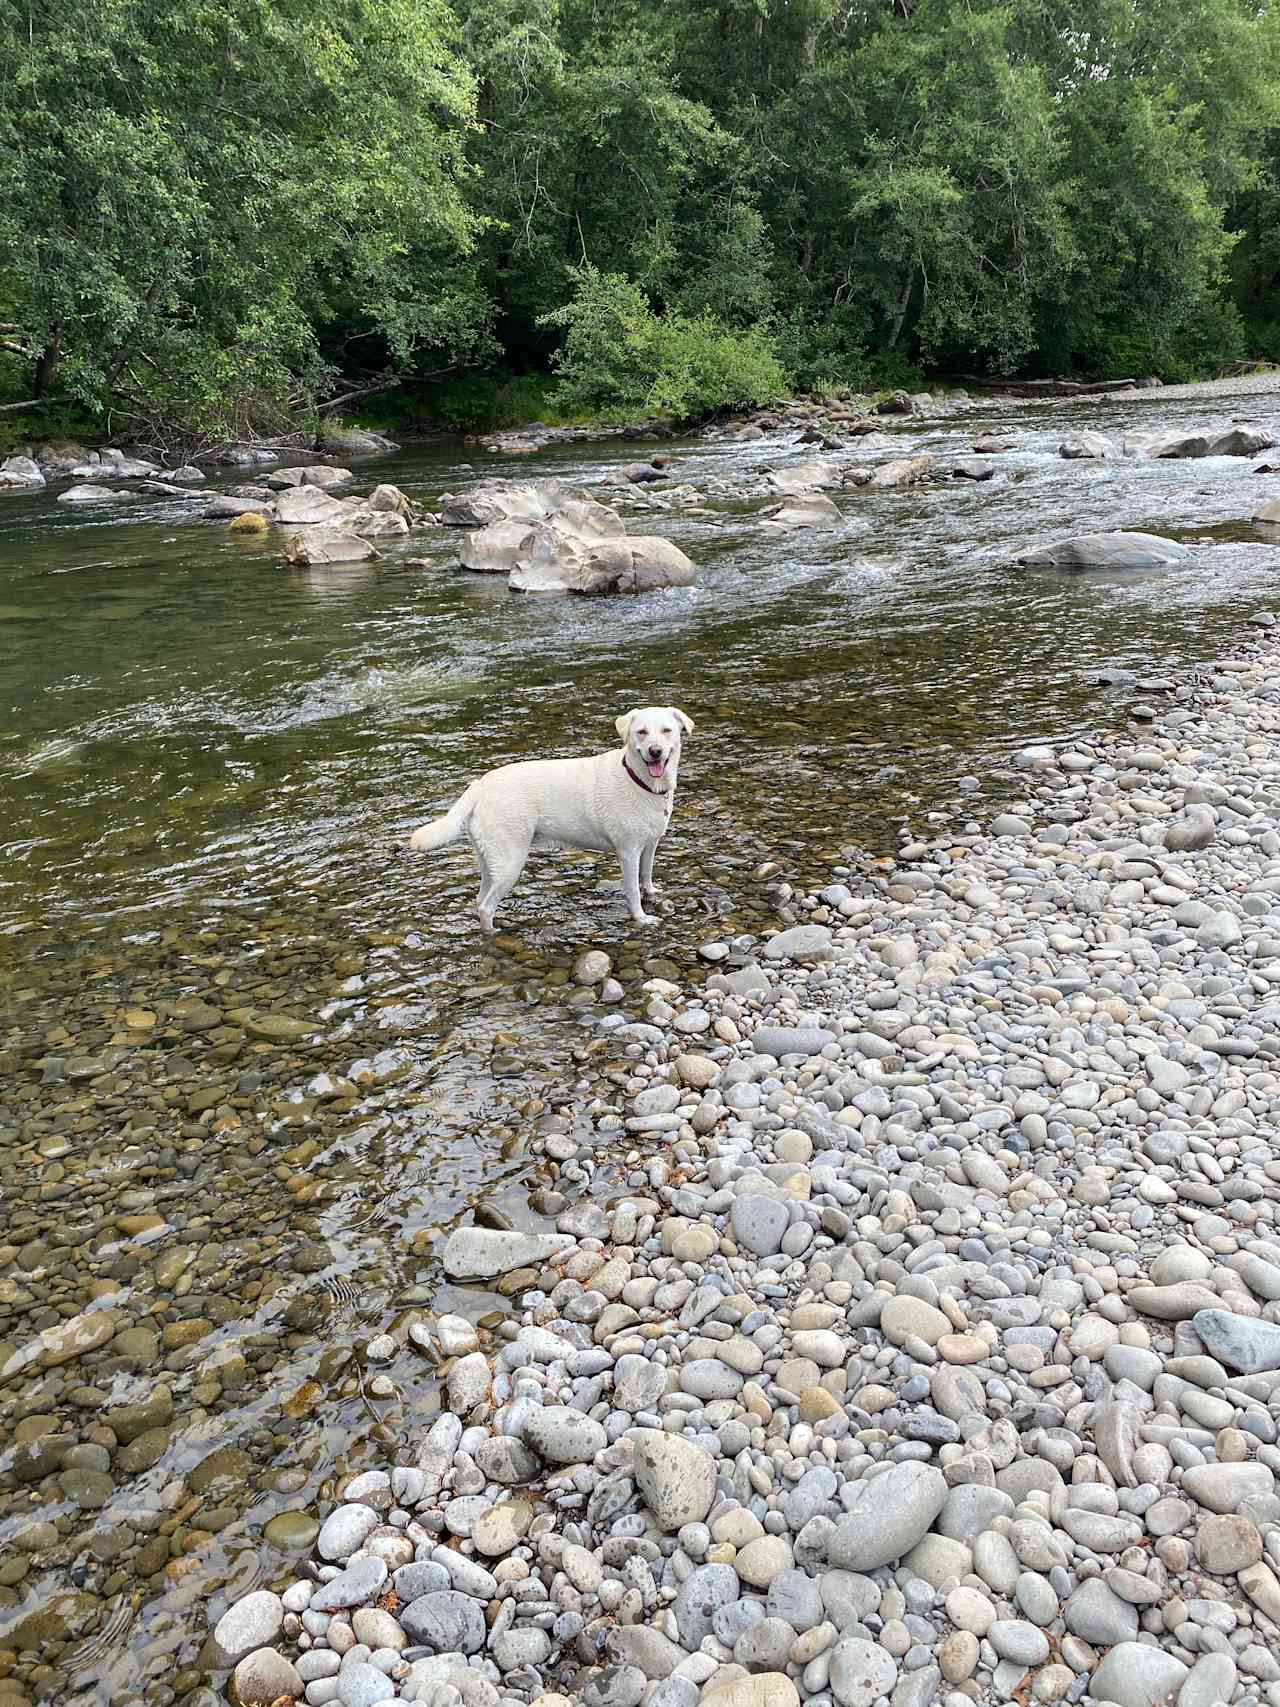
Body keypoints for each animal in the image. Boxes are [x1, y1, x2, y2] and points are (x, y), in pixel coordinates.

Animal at [407, 706, 692, 935]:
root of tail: (480, 785)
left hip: (490, 860)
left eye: (666, 730)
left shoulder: (649, 845)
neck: (640, 780)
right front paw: (641, 918)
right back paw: (494, 933)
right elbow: (633, 890)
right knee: (487, 907)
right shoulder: (628, 852)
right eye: (641, 732)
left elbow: (647, 873)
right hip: (511, 862)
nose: (655, 752)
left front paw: (652, 893)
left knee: (479, 900)